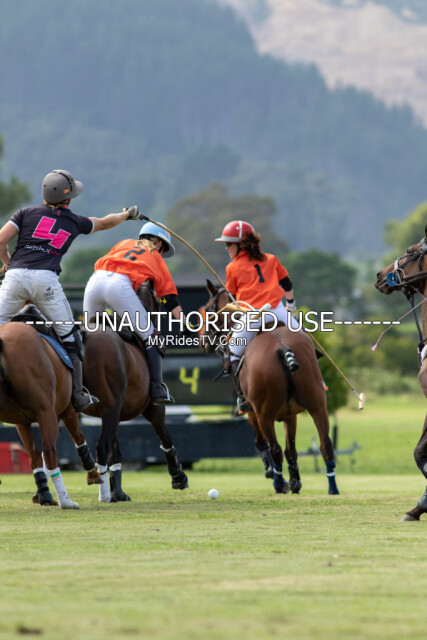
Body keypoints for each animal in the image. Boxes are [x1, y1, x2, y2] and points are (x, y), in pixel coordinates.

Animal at [0, 318, 100, 508]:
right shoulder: (65, 410)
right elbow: (78, 437)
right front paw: (93, 472)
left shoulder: (22, 421)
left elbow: (34, 456)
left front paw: (39, 493)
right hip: (46, 412)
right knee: (49, 450)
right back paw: (65, 501)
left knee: (38, 454)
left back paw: (47, 495)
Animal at [80, 283, 189, 502]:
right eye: (158, 302)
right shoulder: (151, 409)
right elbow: (165, 437)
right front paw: (178, 476)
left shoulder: (109, 411)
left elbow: (115, 452)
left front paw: (118, 492)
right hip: (112, 408)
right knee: (100, 447)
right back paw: (102, 494)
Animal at [200, 280, 339, 495]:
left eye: (208, 310)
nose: (203, 342)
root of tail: (283, 348)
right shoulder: (290, 413)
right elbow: (292, 450)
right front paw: (295, 482)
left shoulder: (252, 412)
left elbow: (261, 443)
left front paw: (271, 472)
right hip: (317, 404)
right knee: (325, 444)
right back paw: (332, 488)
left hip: (264, 414)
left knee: (275, 448)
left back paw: (279, 484)